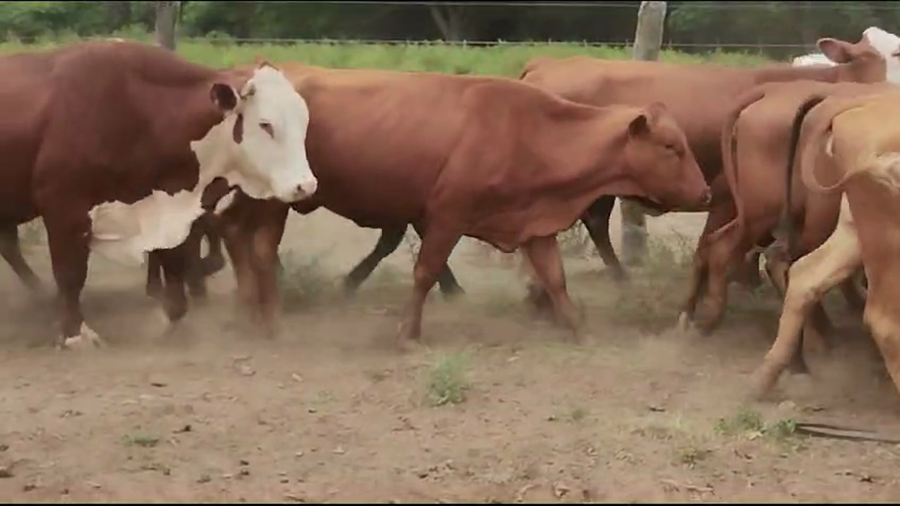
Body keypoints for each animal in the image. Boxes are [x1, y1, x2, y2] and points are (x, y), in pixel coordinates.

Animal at [0, 40, 318, 350]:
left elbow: (175, 268)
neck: (139, 111)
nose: (306, 185)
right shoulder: (64, 208)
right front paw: (74, 334)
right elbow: (70, 275)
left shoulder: (168, 207)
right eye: (266, 124)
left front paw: (168, 320)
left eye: (304, 121)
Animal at [206, 64, 711, 349]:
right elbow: (425, 272)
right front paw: (408, 335)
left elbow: (555, 279)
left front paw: (578, 329)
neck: (530, 131)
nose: (706, 193)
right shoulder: (447, 216)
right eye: (671, 146)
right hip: (275, 199)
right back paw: (265, 317)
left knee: (233, 231)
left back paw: (245, 312)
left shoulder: (533, 226)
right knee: (257, 246)